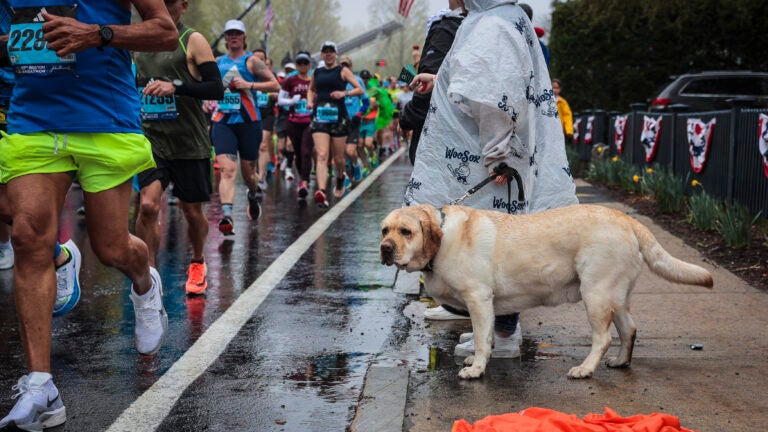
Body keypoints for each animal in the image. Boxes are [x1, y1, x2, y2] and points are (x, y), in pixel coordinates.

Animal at [380, 204, 712, 380]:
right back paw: (621, 361)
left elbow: (482, 338)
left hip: (596, 294)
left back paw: (585, 369)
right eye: (385, 230)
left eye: (406, 232)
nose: (384, 249)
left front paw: (476, 368)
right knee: (629, 329)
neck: (444, 238)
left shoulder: (479, 299)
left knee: (603, 338)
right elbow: (484, 338)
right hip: (615, 297)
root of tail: (626, 218)